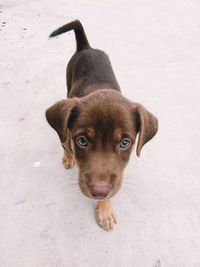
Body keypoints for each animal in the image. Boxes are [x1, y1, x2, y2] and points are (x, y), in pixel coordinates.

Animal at [45, 19, 158, 231]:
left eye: (124, 143)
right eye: (82, 141)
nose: (98, 191)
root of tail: (86, 47)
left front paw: (104, 209)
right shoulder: (66, 135)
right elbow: (65, 144)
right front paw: (69, 157)